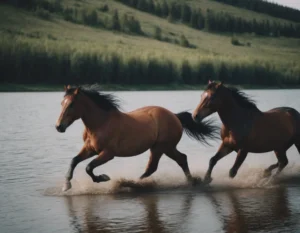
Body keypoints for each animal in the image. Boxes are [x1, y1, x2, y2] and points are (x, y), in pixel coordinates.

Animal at [55, 84, 218, 191]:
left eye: (71, 104)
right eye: (62, 103)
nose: (59, 127)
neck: (100, 124)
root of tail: (174, 116)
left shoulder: (108, 154)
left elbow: (89, 167)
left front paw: (103, 178)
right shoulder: (90, 149)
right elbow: (74, 161)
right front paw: (66, 185)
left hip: (160, 147)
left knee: (153, 167)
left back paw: (130, 183)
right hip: (167, 148)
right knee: (181, 159)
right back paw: (192, 182)